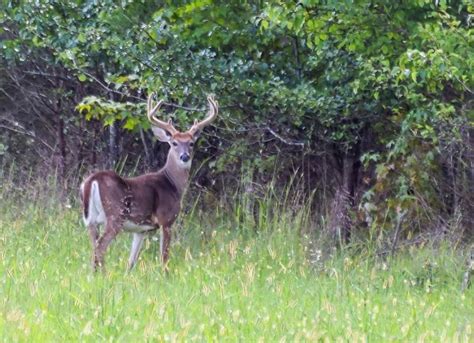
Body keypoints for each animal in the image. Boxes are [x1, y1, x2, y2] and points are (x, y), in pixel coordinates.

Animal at [79, 93, 218, 272]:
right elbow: (164, 257)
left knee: (94, 247)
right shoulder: (166, 219)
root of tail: (92, 180)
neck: (172, 184)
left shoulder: (141, 230)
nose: (184, 156)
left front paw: (127, 275)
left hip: (91, 220)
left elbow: (131, 261)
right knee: (100, 247)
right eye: (174, 143)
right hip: (115, 215)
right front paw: (166, 275)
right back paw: (105, 275)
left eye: (191, 143)